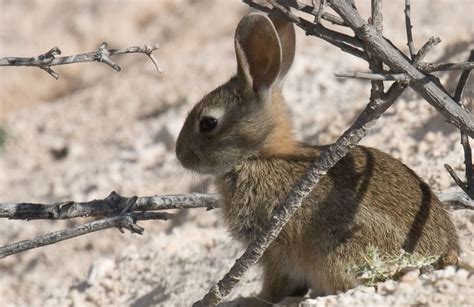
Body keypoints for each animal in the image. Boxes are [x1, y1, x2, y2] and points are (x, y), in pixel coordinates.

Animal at [175, 12, 460, 307]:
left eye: (208, 123)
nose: (180, 155)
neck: (260, 156)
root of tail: (444, 256)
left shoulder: (272, 246)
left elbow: (275, 284)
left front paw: (252, 300)